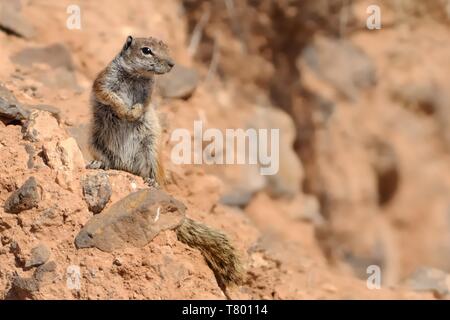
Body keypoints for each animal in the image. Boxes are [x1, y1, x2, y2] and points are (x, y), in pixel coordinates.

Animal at [87, 36, 243, 286]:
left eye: (168, 48)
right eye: (146, 50)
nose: (171, 64)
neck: (137, 76)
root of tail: (125, 167)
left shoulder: (148, 94)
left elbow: (144, 104)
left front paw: (135, 112)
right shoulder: (104, 79)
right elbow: (106, 93)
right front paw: (124, 111)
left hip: (151, 150)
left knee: (153, 173)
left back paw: (152, 182)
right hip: (95, 139)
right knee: (106, 158)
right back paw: (100, 164)